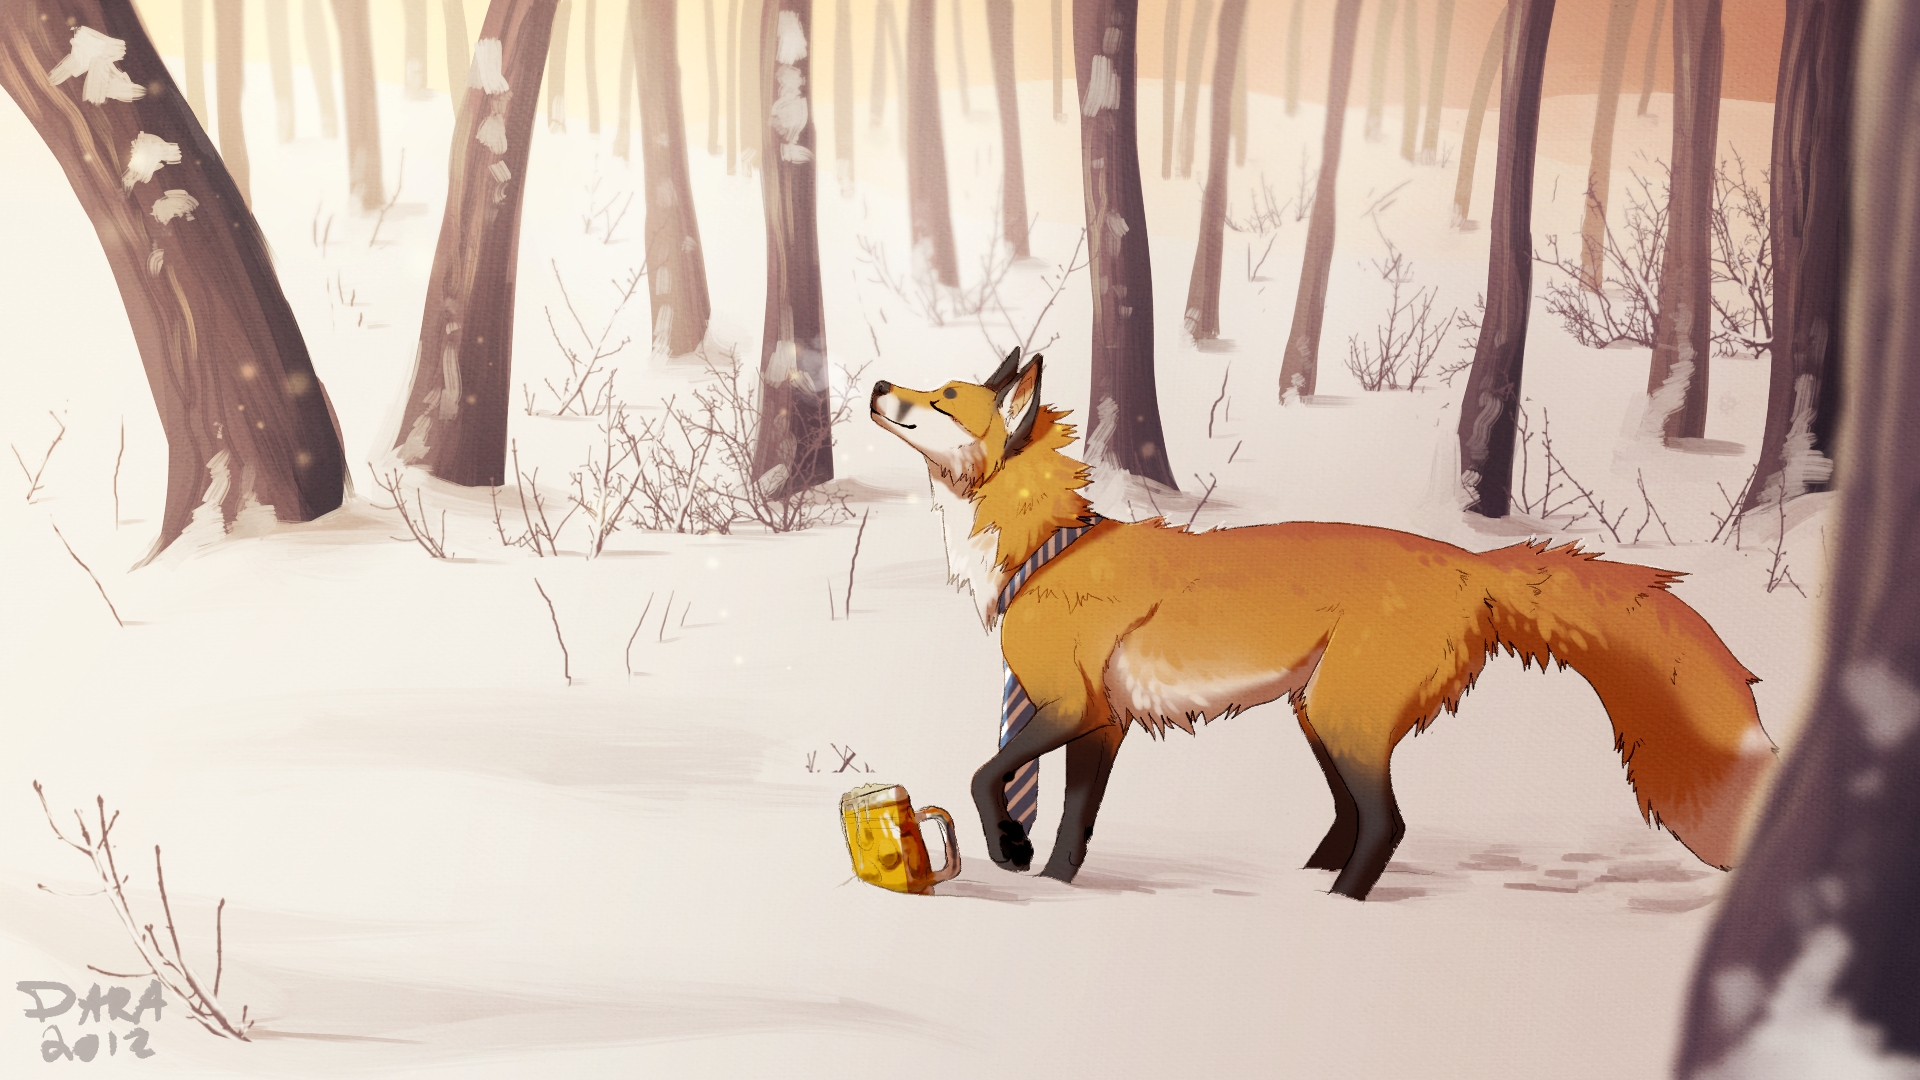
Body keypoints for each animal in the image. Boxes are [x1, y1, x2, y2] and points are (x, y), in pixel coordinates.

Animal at [869, 347, 1779, 900]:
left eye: (942, 397)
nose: (877, 386)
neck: (1044, 552)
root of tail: (1470, 562)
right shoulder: (1104, 721)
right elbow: (1075, 823)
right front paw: (1053, 882)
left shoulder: (1069, 706)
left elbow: (988, 776)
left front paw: (1007, 852)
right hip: (1320, 714)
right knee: (1353, 817)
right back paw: (1307, 882)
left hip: (1344, 715)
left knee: (1386, 823)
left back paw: (1336, 908)